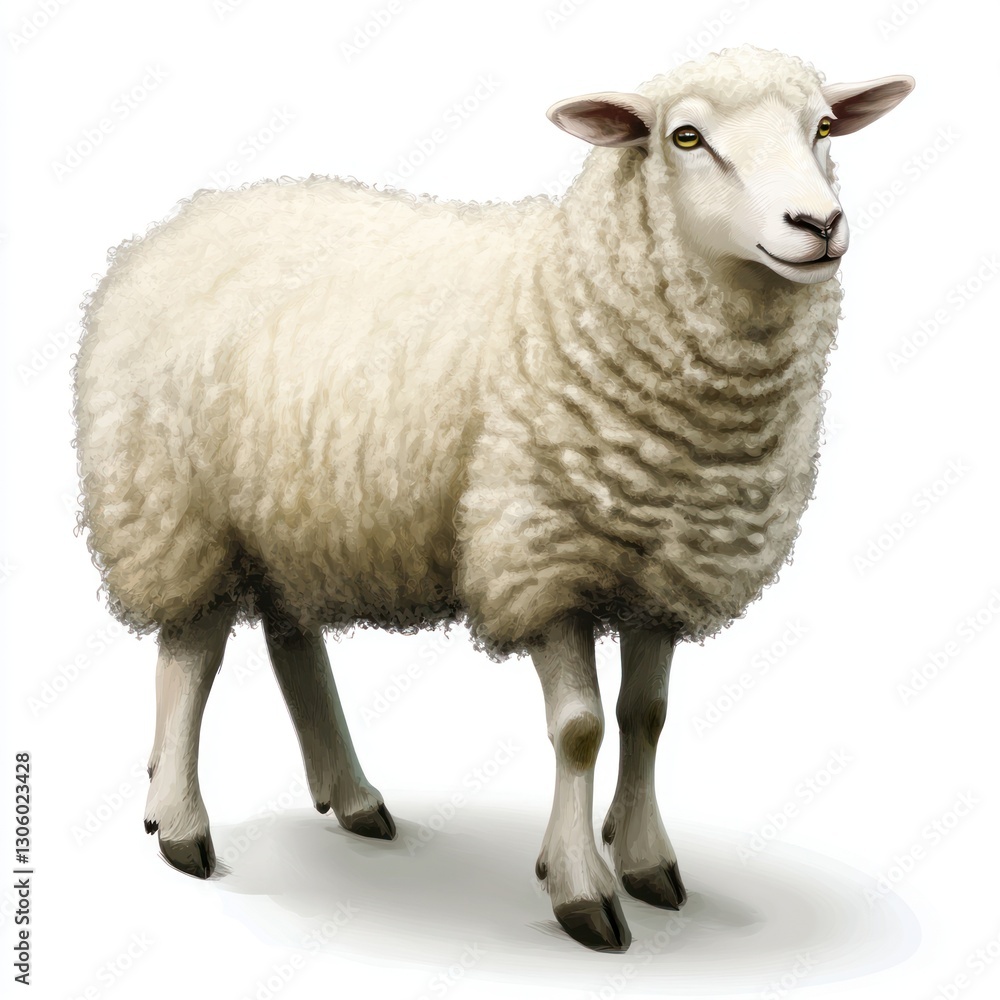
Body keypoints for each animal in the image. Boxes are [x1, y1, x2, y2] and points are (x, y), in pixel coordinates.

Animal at [73, 45, 913, 952]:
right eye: (685, 136)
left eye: (823, 127)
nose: (818, 224)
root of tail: (180, 220)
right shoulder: (541, 552)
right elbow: (581, 729)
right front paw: (581, 888)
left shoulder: (666, 559)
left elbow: (646, 715)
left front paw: (646, 857)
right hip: (172, 506)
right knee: (191, 656)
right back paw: (180, 821)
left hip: (291, 512)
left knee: (294, 643)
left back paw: (353, 796)